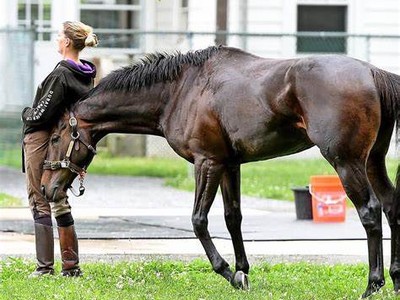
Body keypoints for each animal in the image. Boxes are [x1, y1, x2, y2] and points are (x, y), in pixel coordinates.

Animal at [39, 45, 400, 296]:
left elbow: (199, 220)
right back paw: (395, 280)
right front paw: (243, 272)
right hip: (372, 161)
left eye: (56, 137)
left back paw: (373, 285)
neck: (180, 89)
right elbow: (232, 217)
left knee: (370, 211)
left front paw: (227, 272)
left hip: (346, 162)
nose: (47, 188)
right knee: (391, 206)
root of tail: (373, 72)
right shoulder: (229, 165)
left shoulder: (208, 162)